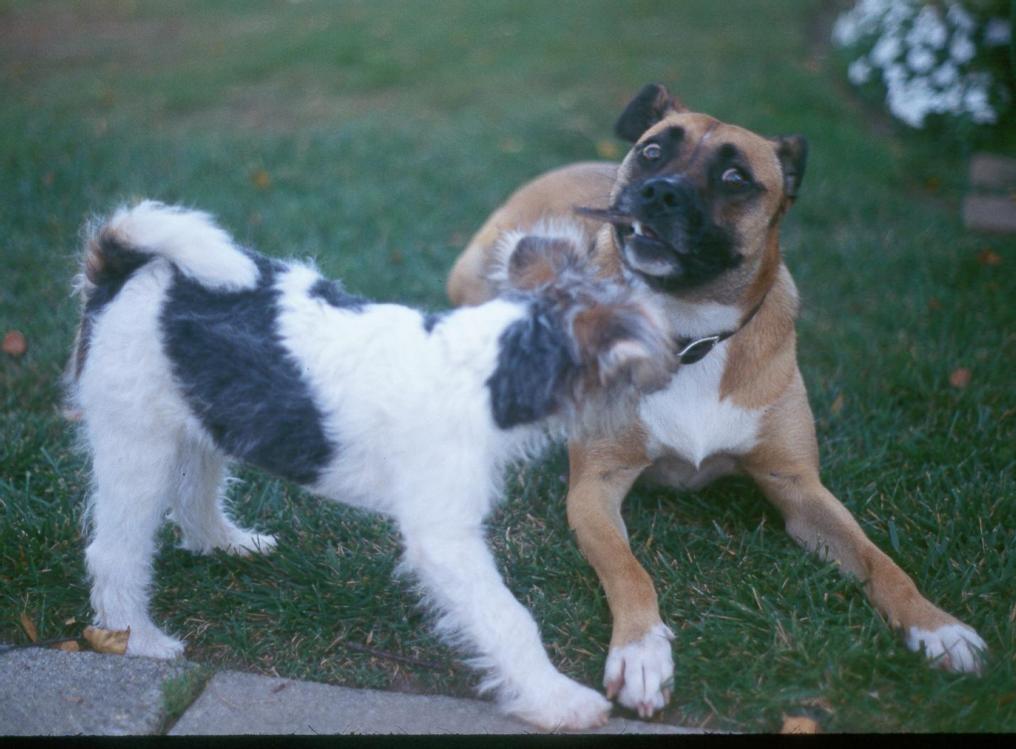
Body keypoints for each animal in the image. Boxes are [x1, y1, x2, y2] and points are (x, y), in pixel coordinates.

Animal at [65, 200, 674, 731]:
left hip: (208, 420)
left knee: (195, 499)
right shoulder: (444, 537)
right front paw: (559, 700)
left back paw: (226, 543)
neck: (494, 364)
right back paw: (140, 641)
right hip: (136, 441)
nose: (675, 372)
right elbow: (509, 619)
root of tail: (118, 265)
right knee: (114, 552)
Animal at [447, 83, 983, 719]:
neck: (688, 334)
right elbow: (629, 571)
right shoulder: (594, 489)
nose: (659, 191)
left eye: (735, 177)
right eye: (653, 151)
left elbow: (880, 561)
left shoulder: (800, 488)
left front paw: (937, 626)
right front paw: (642, 653)